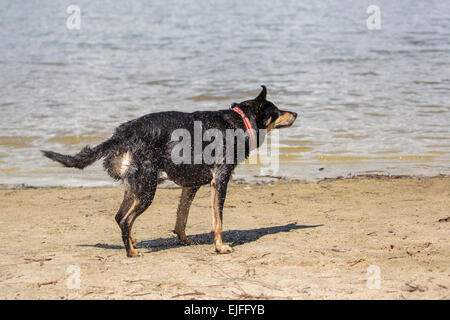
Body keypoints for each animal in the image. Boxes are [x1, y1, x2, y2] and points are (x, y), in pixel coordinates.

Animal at [41, 85, 296, 258]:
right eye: (277, 110)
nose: (295, 114)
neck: (239, 122)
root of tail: (122, 133)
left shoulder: (191, 185)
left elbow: (182, 216)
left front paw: (183, 240)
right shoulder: (220, 181)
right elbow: (218, 221)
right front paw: (220, 247)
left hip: (136, 186)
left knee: (120, 217)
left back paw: (133, 243)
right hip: (147, 189)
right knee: (125, 219)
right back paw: (131, 252)